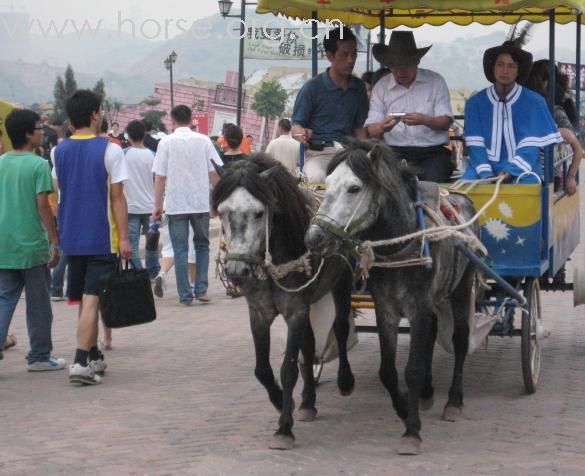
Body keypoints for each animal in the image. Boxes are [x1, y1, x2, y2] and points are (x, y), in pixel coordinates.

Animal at [212, 155, 354, 450]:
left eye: (259, 213)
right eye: (222, 212)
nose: (236, 271)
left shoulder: (295, 311)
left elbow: (288, 369)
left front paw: (284, 429)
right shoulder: (259, 313)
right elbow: (262, 370)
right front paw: (279, 400)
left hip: (342, 281)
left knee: (341, 328)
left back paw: (345, 380)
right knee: (309, 345)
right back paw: (308, 402)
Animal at [306, 143, 480, 456]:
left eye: (354, 188)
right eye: (327, 184)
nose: (314, 237)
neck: (403, 243)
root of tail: (461, 197)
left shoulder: (419, 307)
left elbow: (411, 369)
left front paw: (412, 430)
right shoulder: (387, 309)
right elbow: (387, 371)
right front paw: (404, 409)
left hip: (461, 287)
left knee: (460, 340)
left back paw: (453, 401)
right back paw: (426, 393)